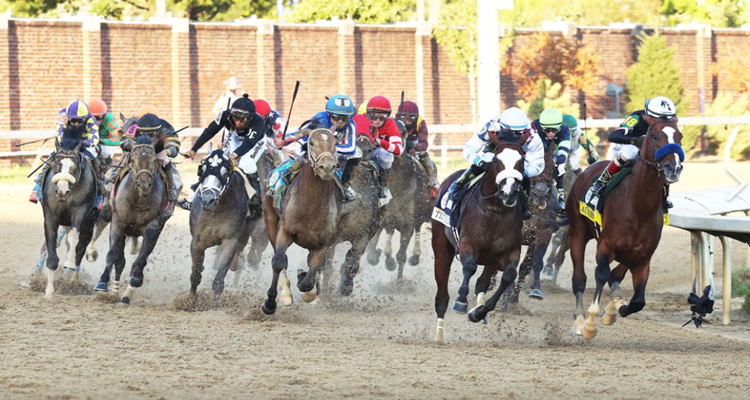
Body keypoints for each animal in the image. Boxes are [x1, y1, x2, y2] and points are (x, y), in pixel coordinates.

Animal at [39, 125, 100, 296]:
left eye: (74, 167)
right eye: (57, 163)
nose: (62, 190)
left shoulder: (80, 211)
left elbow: (74, 236)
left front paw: (70, 262)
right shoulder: (50, 216)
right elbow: (52, 248)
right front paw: (49, 290)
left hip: (90, 223)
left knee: (81, 247)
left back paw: (74, 280)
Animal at [188, 145, 253, 308]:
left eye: (224, 172)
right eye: (203, 169)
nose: (208, 199)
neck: (217, 210)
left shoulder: (230, 241)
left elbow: (219, 278)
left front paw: (214, 306)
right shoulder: (197, 241)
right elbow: (196, 274)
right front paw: (190, 300)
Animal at [260, 129, 340, 316]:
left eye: (335, 142)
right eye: (311, 143)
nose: (327, 167)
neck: (311, 203)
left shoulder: (323, 242)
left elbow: (309, 278)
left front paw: (305, 282)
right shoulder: (285, 230)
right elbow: (278, 261)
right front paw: (270, 302)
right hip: (269, 219)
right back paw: (285, 293)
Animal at [432, 140, 532, 340]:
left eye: (521, 161)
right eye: (496, 161)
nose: (508, 192)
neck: (495, 211)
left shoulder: (508, 252)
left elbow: (509, 275)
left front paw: (479, 312)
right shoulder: (466, 244)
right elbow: (469, 267)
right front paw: (461, 301)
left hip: (491, 260)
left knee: (481, 283)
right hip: (441, 249)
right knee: (442, 296)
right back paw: (438, 335)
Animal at [568, 120, 688, 340]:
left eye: (679, 136)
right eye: (655, 136)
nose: (673, 167)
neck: (638, 206)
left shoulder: (643, 256)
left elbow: (638, 300)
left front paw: (614, 310)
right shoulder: (605, 246)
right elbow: (602, 274)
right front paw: (591, 323)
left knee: (616, 274)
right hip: (578, 231)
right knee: (579, 279)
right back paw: (580, 319)